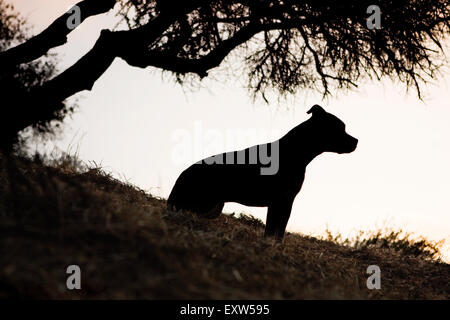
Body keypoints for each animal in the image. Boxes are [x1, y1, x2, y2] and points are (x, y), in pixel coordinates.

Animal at [166, 105, 358, 240]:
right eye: (340, 128)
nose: (356, 141)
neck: (295, 151)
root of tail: (179, 180)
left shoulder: (282, 202)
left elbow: (275, 230)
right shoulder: (282, 201)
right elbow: (276, 231)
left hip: (216, 207)